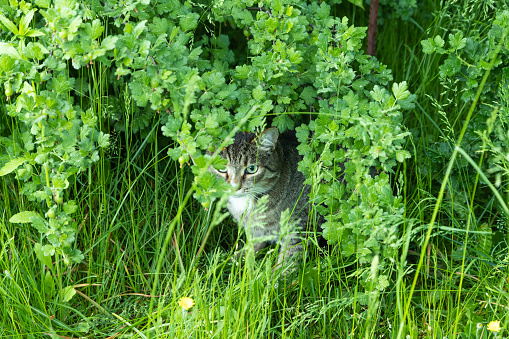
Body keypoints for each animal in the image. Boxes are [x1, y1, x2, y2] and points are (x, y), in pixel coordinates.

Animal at [207, 127, 312, 268]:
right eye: (222, 169)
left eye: (252, 169)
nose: (235, 186)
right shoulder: (255, 230)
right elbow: (252, 247)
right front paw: (233, 260)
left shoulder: (301, 225)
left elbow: (290, 258)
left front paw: (278, 273)